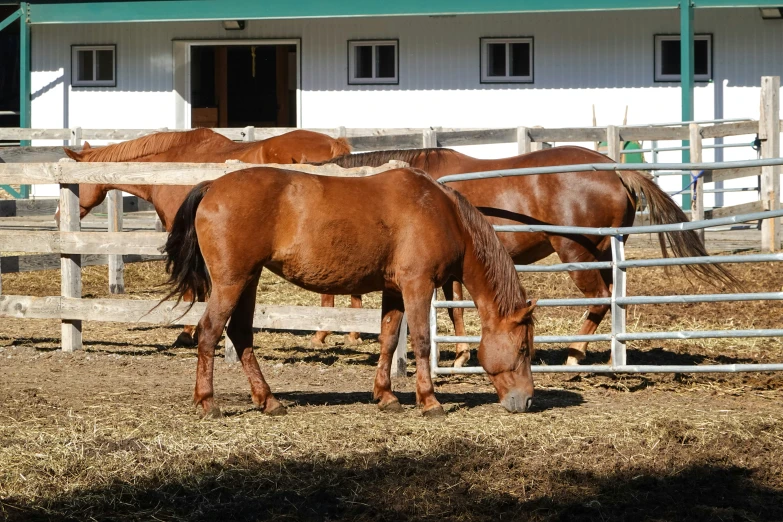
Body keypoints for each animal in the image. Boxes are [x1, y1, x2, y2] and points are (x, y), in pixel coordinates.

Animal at [163, 169, 544, 416]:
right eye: (523, 348)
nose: (526, 401)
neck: (441, 211)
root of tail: (213, 186)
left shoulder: (394, 290)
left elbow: (389, 339)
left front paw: (386, 396)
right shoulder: (417, 286)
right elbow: (421, 341)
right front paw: (429, 401)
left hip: (249, 280)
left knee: (240, 335)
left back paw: (269, 401)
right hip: (232, 282)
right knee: (209, 333)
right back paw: (208, 402)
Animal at [316, 145, 736, 366]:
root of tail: (614, 171)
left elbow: (452, 310)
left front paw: (459, 357)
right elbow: (454, 310)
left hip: (576, 253)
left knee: (599, 300)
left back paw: (573, 356)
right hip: (606, 253)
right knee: (613, 302)